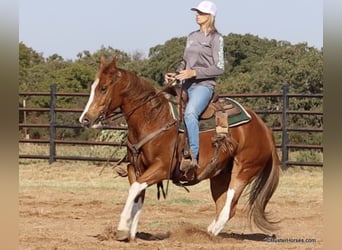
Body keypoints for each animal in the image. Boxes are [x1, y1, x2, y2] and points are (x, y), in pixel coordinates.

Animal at [79, 57, 280, 242]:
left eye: (103, 88)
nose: (85, 119)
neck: (153, 119)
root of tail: (264, 128)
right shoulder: (136, 167)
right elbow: (137, 194)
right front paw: (131, 233)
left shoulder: (161, 168)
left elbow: (135, 189)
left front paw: (122, 229)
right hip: (219, 175)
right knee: (223, 205)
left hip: (244, 170)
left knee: (229, 205)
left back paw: (207, 235)